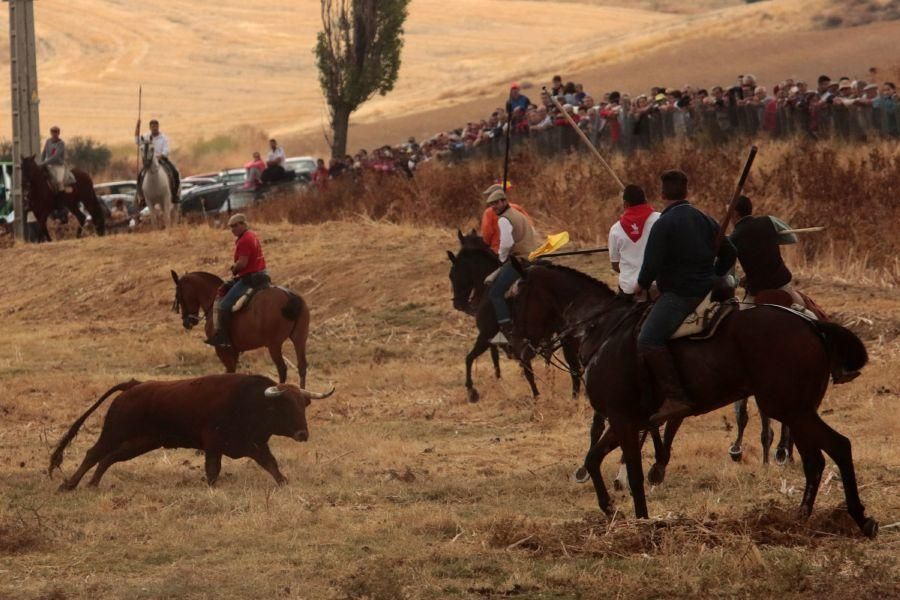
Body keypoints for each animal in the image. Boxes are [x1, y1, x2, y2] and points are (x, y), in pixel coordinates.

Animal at [47, 372, 334, 490]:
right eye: (284, 406)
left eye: (303, 405)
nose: (303, 434)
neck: (251, 402)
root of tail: (134, 386)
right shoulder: (214, 445)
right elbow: (213, 470)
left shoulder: (255, 444)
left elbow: (271, 464)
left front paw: (284, 483)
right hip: (114, 432)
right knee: (94, 453)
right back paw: (69, 485)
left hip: (141, 442)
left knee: (109, 458)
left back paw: (93, 484)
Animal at [172, 270, 312, 386]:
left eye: (178, 296)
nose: (187, 322)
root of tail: (290, 296)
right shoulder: (234, 351)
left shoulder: (223, 350)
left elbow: (229, 372)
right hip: (299, 338)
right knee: (302, 366)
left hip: (274, 345)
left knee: (282, 369)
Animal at [512, 262, 880, 540]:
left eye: (515, 296)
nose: (517, 347)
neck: (604, 329)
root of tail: (812, 325)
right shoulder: (622, 423)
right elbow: (592, 459)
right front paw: (609, 508)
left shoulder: (623, 420)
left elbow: (632, 474)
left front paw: (643, 523)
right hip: (797, 410)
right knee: (816, 460)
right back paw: (802, 518)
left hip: (790, 409)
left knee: (838, 447)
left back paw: (857, 518)